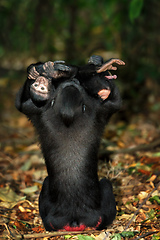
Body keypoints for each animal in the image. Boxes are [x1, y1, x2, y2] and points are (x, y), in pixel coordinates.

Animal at [15, 55, 125, 231]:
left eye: (41, 87)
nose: (39, 83)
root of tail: (75, 219)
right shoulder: (100, 109)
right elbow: (116, 101)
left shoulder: (39, 111)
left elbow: (19, 102)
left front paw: (40, 70)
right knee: (105, 184)